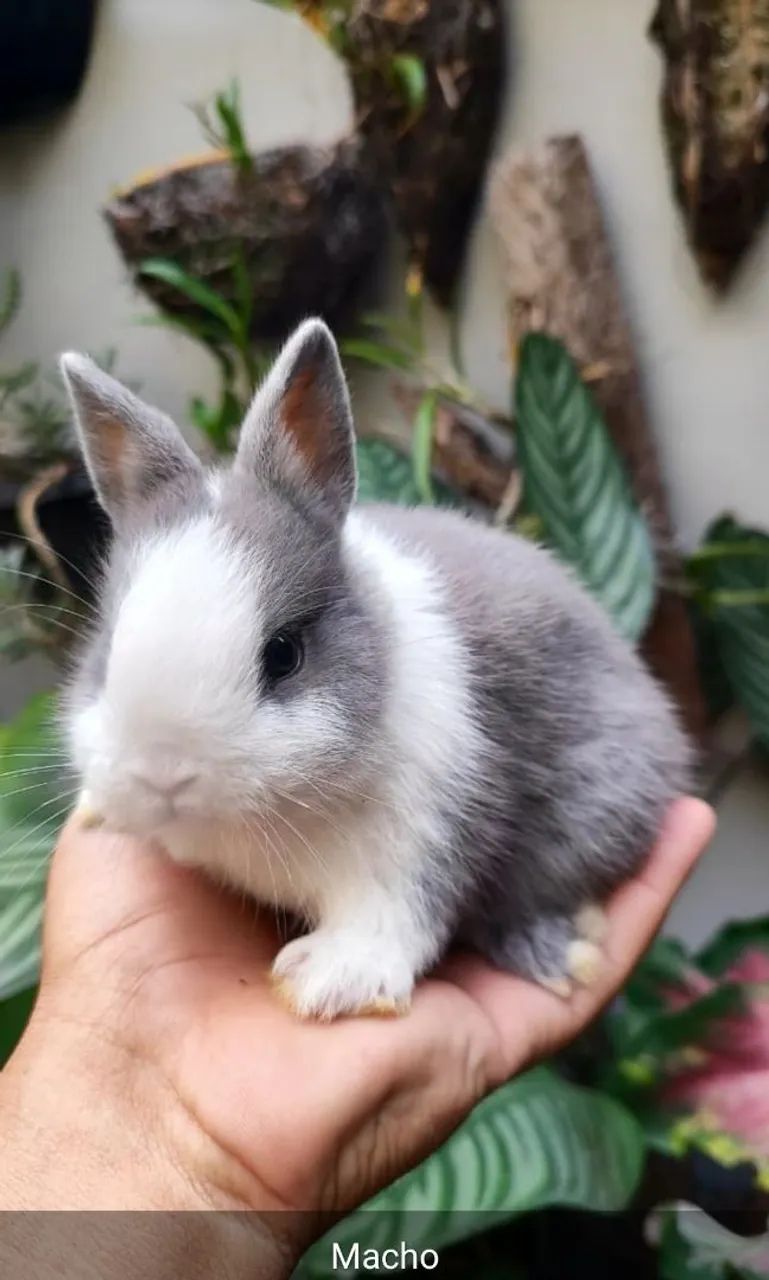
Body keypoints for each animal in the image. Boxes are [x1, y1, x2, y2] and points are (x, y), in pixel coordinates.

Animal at [59, 318, 691, 1020]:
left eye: (284, 654)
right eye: (107, 645)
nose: (162, 775)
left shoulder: (425, 832)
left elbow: (396, 916)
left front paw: (331, 980)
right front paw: (95, 809)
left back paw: (557, 957)